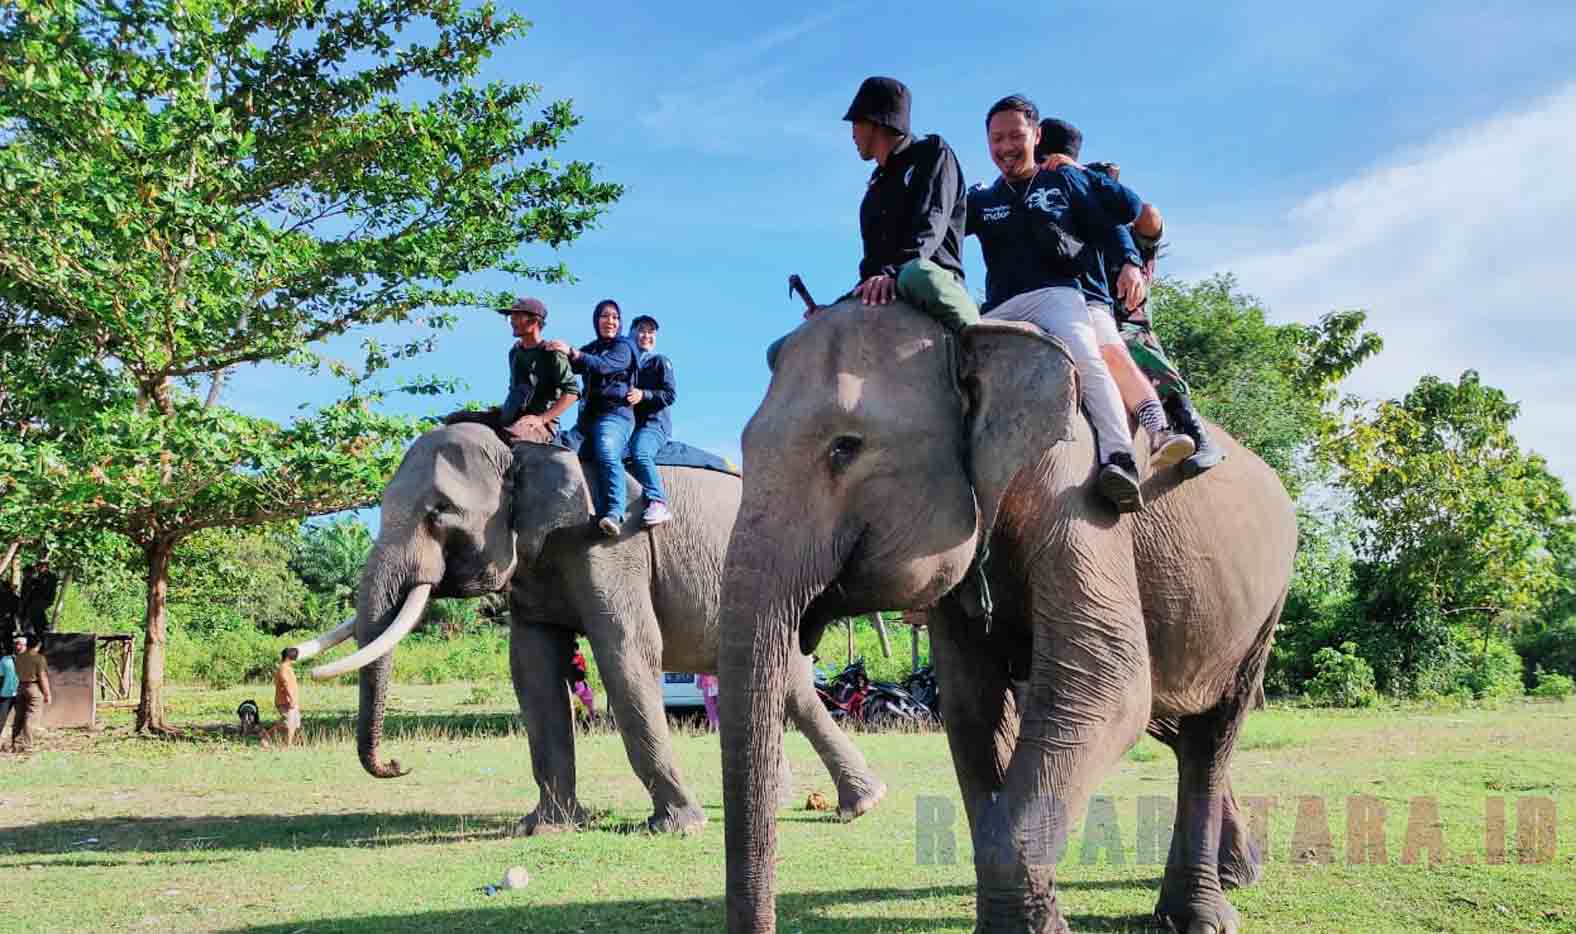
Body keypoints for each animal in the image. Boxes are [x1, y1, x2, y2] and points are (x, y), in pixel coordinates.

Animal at [291, 422, 888, 831]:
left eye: (439, 512)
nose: (397, 764)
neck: (522, 452)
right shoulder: (534, 560)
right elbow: (531, 668)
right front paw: (544, 828)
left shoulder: (609, 538)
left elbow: (626, 651)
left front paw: (677, 828)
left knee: (793, 688)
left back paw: (861, 806)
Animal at [721, 300, 1298, 932]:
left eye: (845, 448)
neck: (972, 338)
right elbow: (972, 706)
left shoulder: (1080, 497)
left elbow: (1107, 687)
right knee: (1173, 718)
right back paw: (1235, 874)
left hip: (1267, 603)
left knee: (1210, 734)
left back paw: (1201, 914)